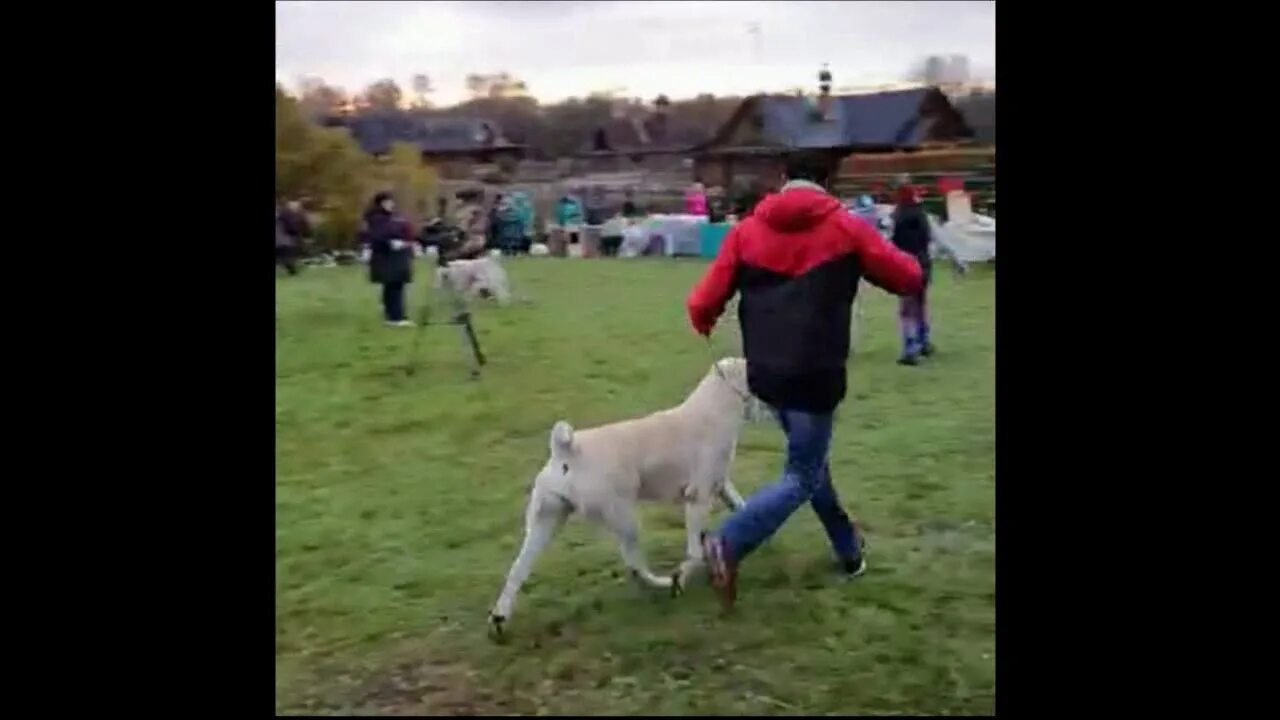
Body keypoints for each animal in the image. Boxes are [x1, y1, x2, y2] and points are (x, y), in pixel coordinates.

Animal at [488, 356, 757, 630]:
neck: (713, 408)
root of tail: (565, 451)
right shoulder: (697, 498)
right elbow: (694, 551)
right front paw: (682, 576)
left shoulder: (721, 485)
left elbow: (742, 506)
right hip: (624, 519)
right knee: (634, 563)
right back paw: (664, 583)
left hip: (545, 523)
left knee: (517, 571)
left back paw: (500, 617)